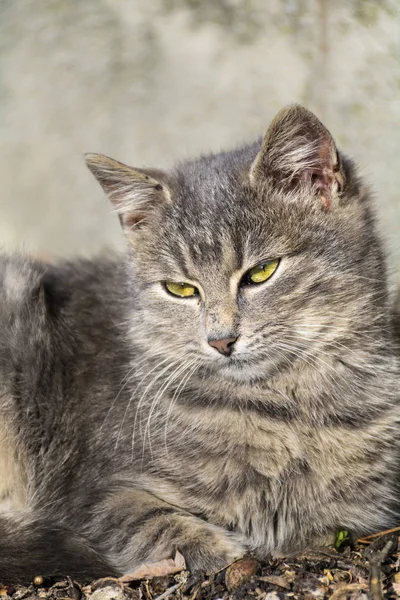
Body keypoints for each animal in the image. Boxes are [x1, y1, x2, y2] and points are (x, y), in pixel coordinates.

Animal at [0, 105, 400, 584]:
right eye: (179, 289)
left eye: (262, 271)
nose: (221, 340)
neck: (281, 407)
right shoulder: (96, 492)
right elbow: (151, 523)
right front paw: (220, 550)